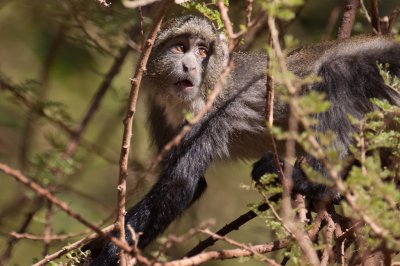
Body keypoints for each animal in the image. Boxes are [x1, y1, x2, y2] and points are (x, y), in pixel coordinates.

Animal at [85, 15, 400, 264]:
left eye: (203, 52)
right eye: (180, 47)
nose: (189, 67)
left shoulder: (215, 115)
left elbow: (180, 184)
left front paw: (108, 255)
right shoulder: (161, 116)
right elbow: (190, 184)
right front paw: (98, 245)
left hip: (374, 70)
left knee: (336, 73)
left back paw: (315, 181)